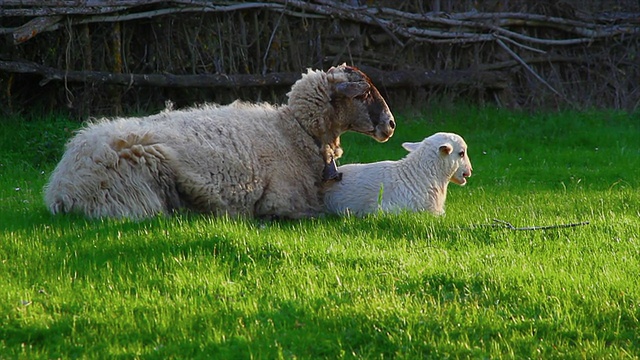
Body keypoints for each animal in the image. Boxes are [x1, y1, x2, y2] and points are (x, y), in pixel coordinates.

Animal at [43, 64, 396, 219]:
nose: (391, 125)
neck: (292, 132)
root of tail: (62, 188)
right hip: (138, 180)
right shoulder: (282, 201)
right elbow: (324, 215)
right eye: (363, 94)